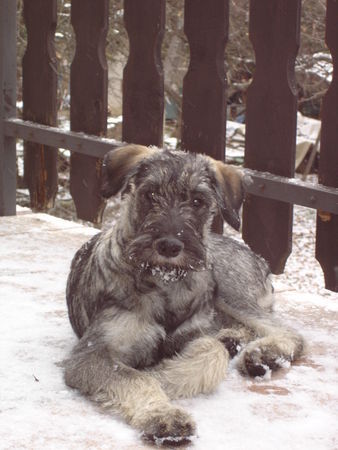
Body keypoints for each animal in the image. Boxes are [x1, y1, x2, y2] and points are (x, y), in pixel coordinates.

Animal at [63, 147, 304, 446]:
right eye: (150, 193)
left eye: (198, 201)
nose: (169, 245)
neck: (163, 282)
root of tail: (260, 259)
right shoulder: (92, 353)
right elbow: (133, 378)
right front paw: (163, 415)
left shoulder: (194, 333)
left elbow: (210, 352)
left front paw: (162, 375)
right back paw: (236, 340)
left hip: (228, 288)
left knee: (285, 330)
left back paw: (265, 353)